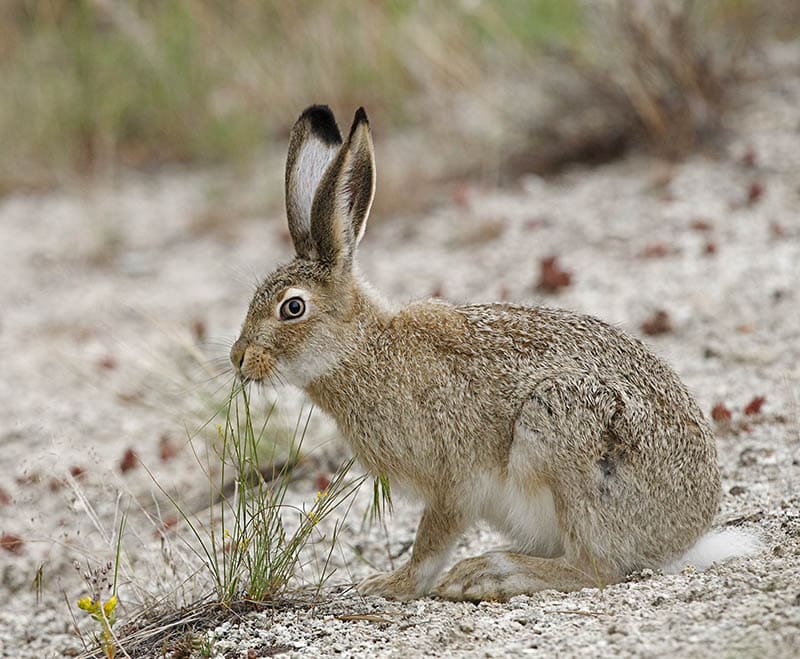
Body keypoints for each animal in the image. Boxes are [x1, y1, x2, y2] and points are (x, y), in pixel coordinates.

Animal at [228, 107, 760, 604]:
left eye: (292, 307)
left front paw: (390, 585)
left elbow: (430, 543)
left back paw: (489, 573)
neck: (364, 348)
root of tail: (683, 537)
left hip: (563, 425)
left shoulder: (452, 480)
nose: (238, 358)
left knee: (595, 569)